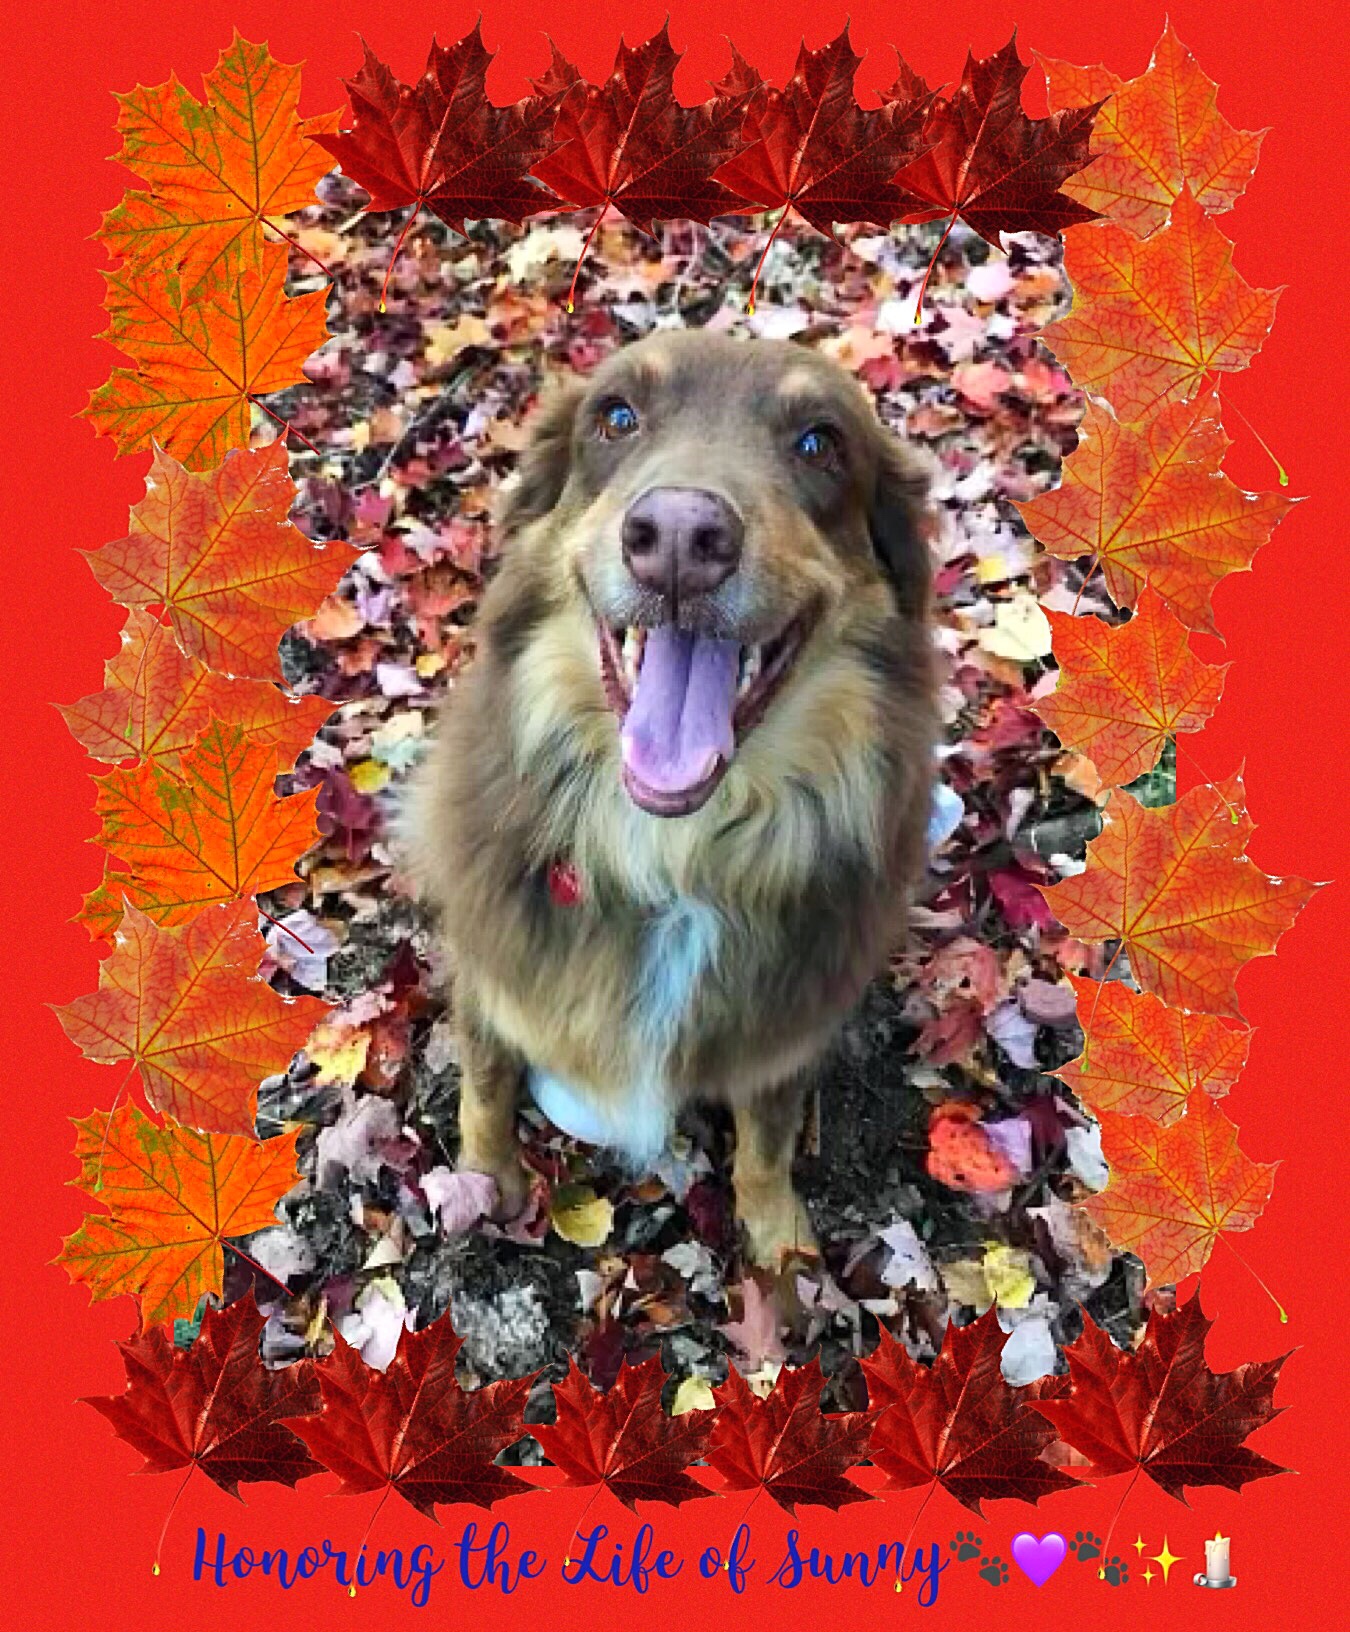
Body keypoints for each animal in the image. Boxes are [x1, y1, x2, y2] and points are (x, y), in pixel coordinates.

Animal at [402, 328, 938, 1266]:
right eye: (616, 417)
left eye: (820, 443)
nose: (682, 537)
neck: (670, 851)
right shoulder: (493, 970)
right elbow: (487, 1084)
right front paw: (485, 1181)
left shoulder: (783, 1034)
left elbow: (766, 1140)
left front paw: (778, 1239)